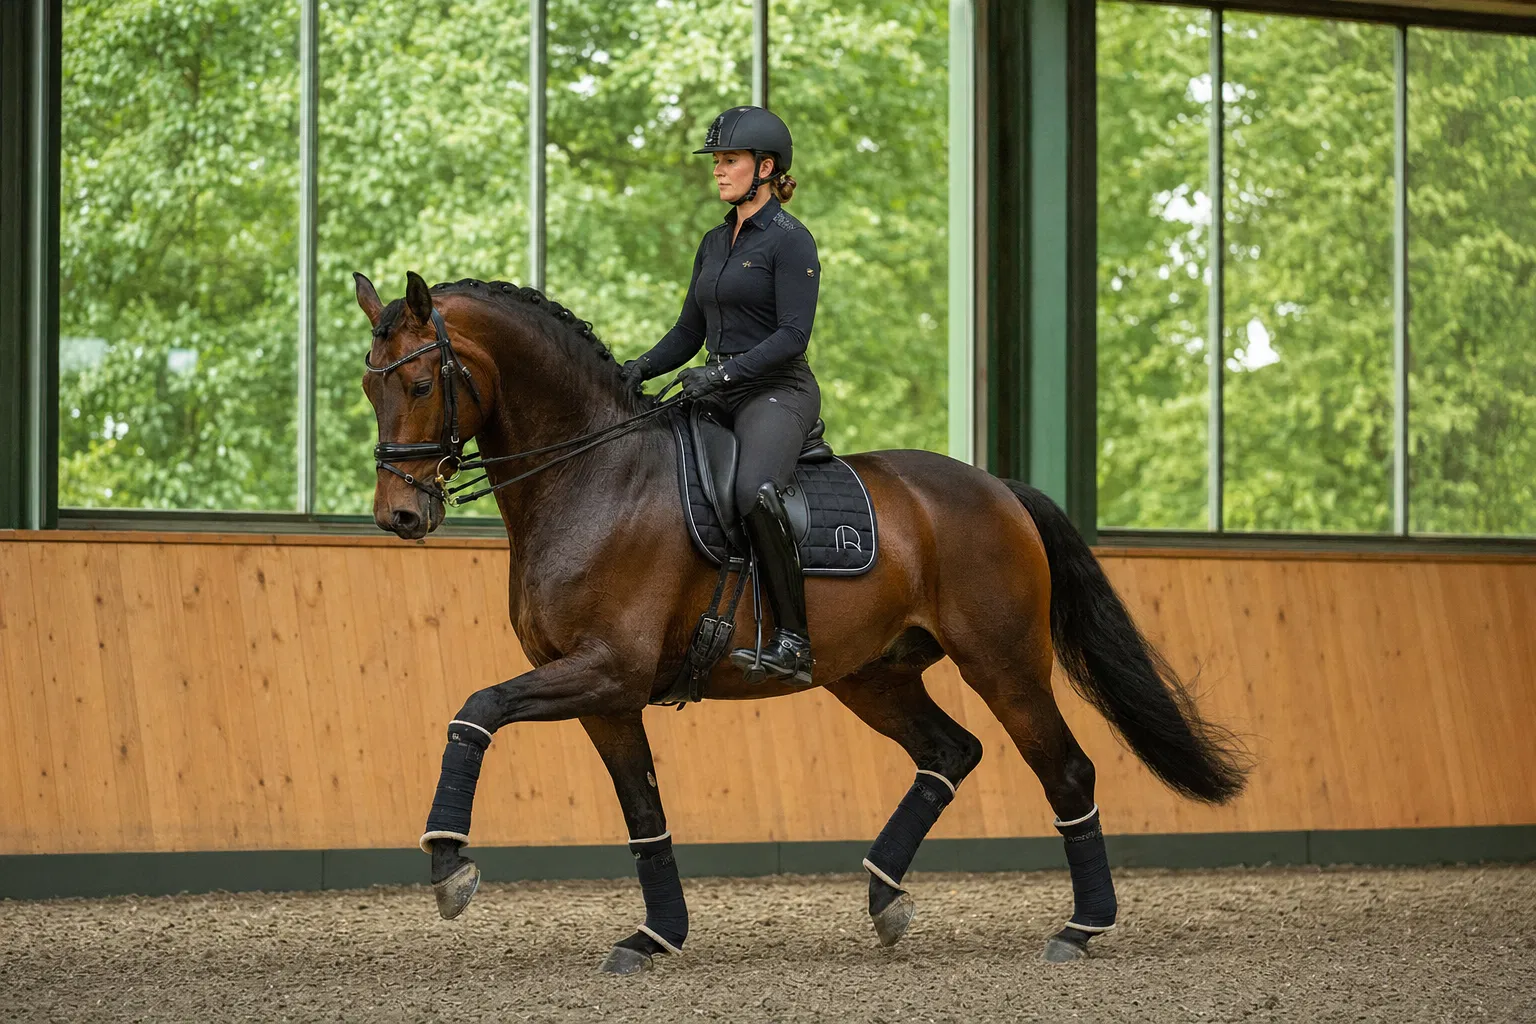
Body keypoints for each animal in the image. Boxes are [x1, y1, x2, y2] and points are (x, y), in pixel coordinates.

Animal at [355, 270, 1247, 974]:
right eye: (371, 387)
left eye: (423, 384)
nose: (400, 515)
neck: (593, 475)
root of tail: (998, 488)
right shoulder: (606, 695)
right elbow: (644, 813)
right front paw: (655, 935)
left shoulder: (607, 668)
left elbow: (476, 709)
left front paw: (448, 862)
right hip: (872, 675)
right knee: (950, 752)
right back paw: (885, 894)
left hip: (1003, 663)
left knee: (1065, 771)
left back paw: (1080, 926)